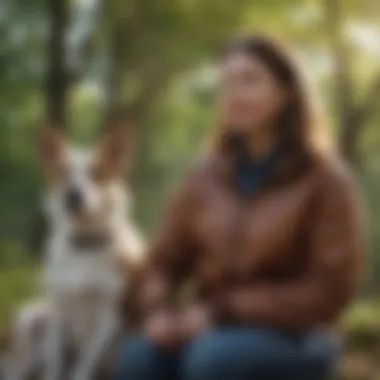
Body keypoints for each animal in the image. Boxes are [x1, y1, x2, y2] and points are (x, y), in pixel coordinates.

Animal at [4, 124, 144, 380]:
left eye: (97, 172)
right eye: (61, 171)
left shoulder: (108, 315)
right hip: (31, 321)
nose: (72, 195)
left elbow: (86, 362)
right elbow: (55, 361)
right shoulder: (59, 308)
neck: (85, 245)